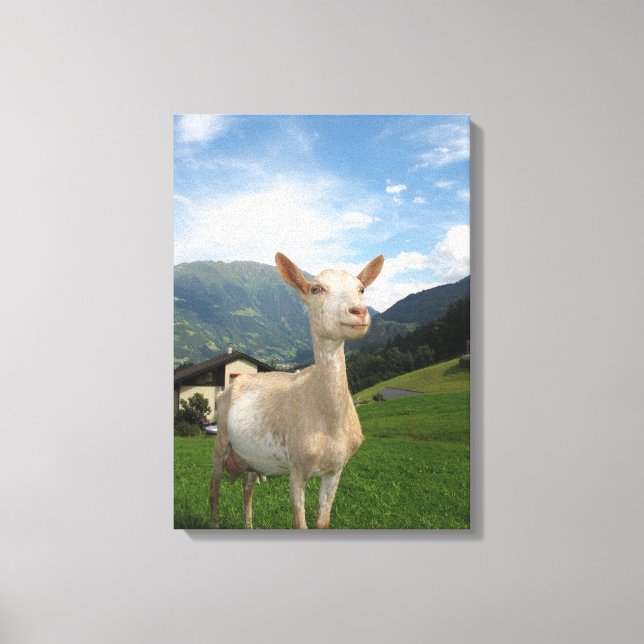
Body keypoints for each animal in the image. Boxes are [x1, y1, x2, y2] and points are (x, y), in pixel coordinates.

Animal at [209, 251, 384, 529]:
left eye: (361, 289)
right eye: (316, 288)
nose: (359, 312)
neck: (327, 423)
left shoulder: (335, 470)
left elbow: (323, 521)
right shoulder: (297, 467)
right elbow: (299, 522)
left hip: (251, 458)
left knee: (247, 488)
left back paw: (249, 525)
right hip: (221, 439)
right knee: (214, 486)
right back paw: (214, 522)